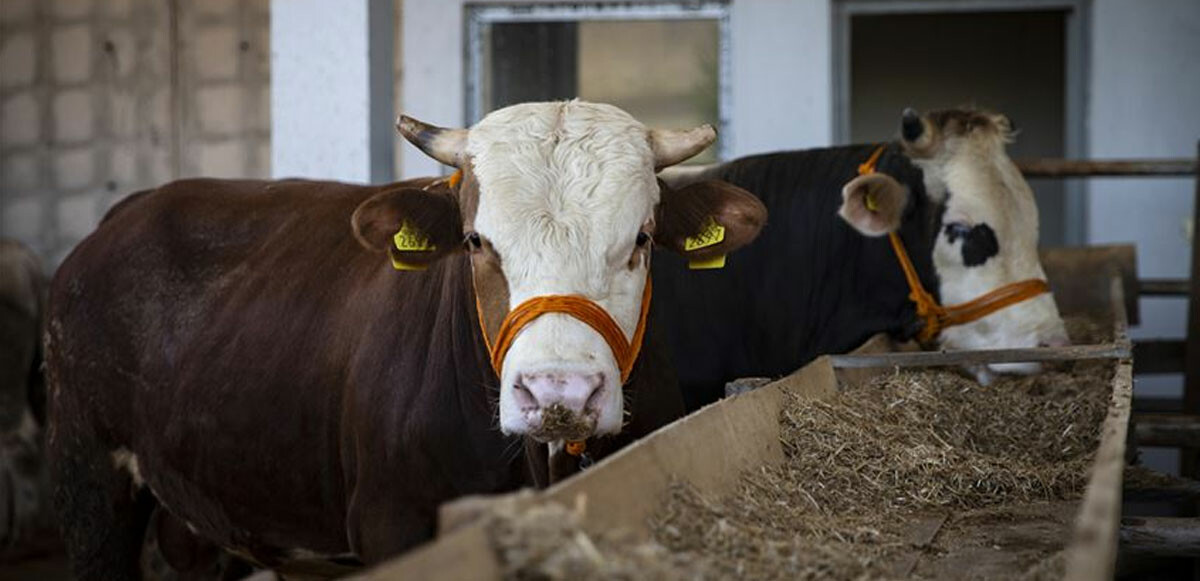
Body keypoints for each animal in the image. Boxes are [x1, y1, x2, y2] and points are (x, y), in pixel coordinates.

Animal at [46, 102, 768, 578]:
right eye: (476, 240)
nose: (557, 392)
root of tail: (125, 212)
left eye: (641, 237)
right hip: (90, 495)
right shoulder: (391, 522)